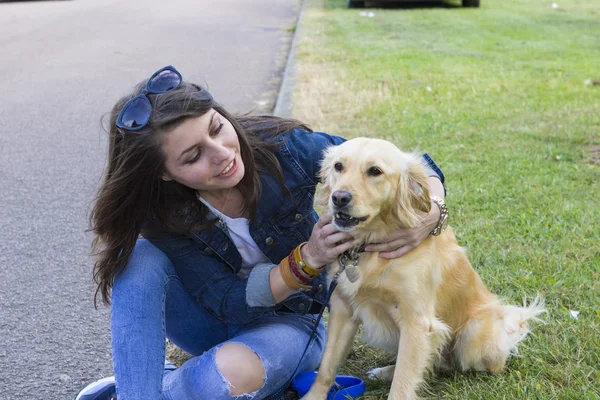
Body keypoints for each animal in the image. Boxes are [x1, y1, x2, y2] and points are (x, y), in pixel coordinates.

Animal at [302, 138, 548, 400]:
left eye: (375, 171)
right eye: (338, 166)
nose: (339, 198)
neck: (369, 246)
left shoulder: (417, 322)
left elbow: (402, 386)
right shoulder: (342, 310)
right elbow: (326, 368)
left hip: (472, 335)